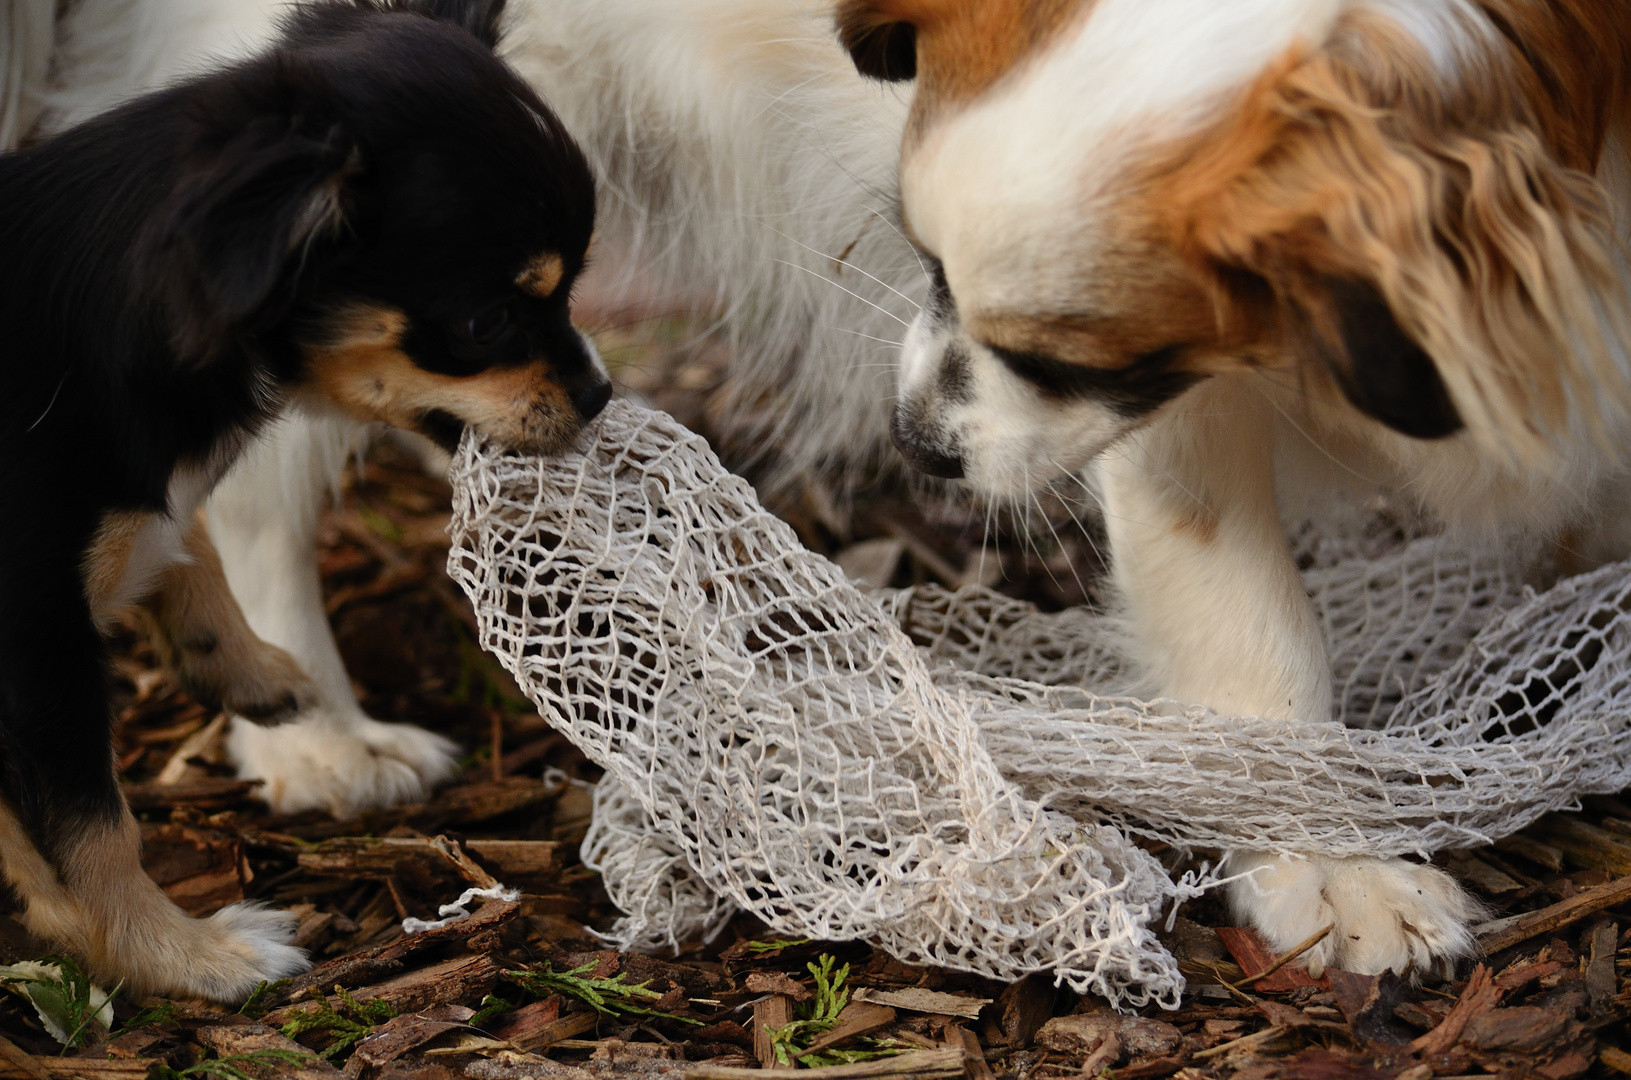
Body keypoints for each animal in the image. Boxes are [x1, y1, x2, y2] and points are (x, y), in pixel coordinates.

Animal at [0, 0, 609, 1004]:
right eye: (485, 323)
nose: (599, 393)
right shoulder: (33, 640)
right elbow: (89, 831)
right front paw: (182, 956)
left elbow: (181, 538)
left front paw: (246, 665)